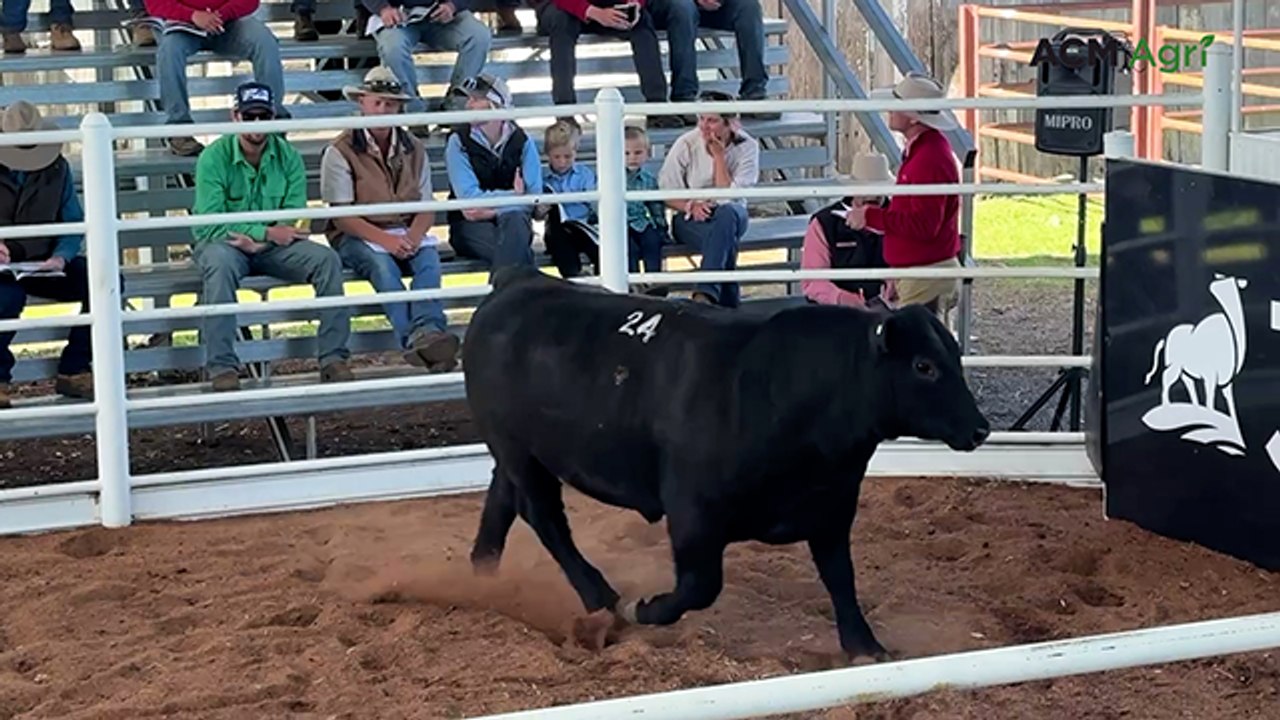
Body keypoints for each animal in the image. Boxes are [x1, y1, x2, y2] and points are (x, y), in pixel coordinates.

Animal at [461, 265, 990, 662]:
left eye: (953, 358)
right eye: (924, 366)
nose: (980, 429)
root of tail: (519, 282)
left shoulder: (831, 510)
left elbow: (841, 577)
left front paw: (865, 646)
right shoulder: (693, 515)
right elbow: (699, 588)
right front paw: (644, 609)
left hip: (512, 453)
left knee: (503, 501)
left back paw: (483, 577)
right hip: (518, 449)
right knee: (545, 517)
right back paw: (601, 598)